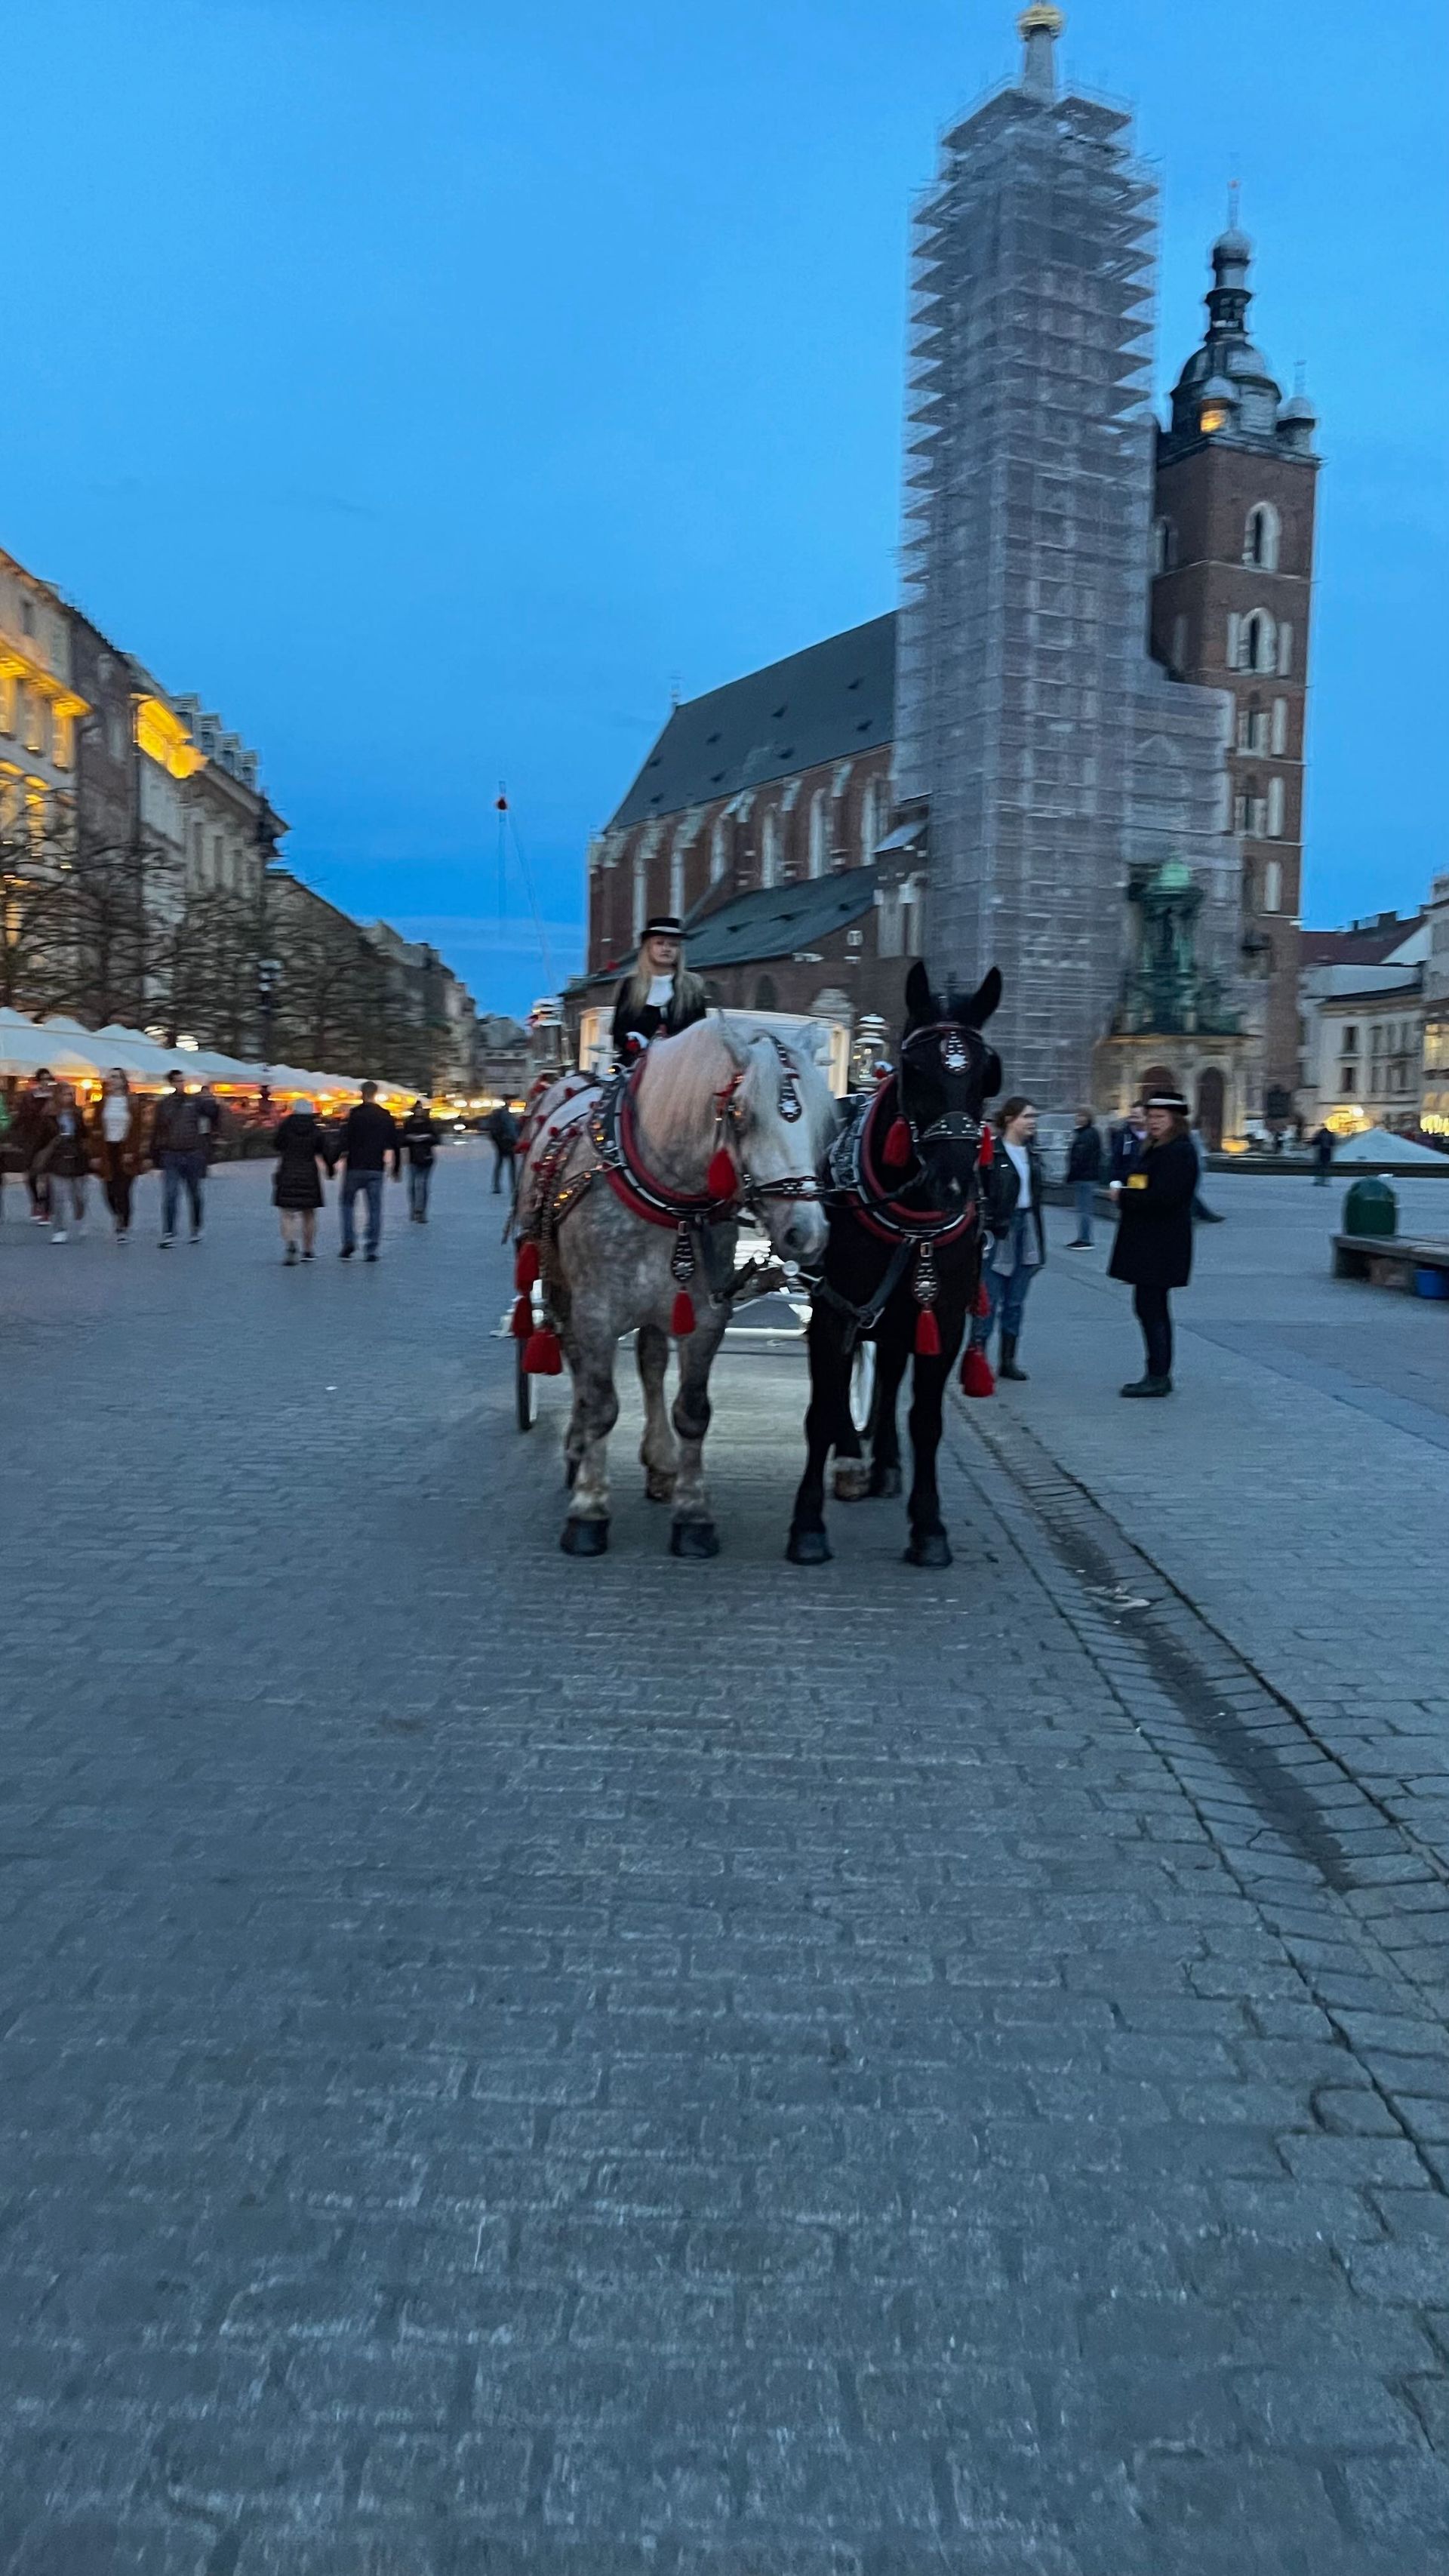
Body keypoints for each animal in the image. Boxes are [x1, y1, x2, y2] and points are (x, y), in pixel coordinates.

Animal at [517, 1014, 835, 1559]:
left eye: (820, 1118)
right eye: (739, 1112)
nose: (806, 1233)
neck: (667, 1198)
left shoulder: (706, 1317)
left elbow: (692, 1411)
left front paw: (693, 1514)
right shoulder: (596, 1313)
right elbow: (601, 1406)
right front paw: (589, 1510)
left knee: (650, 1363)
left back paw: (660, 1461)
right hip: (559, 1285)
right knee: (573, 1357)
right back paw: (577, 1449)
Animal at [785, 961, 1003, 1570]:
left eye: (987, 1075)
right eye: (915, 1069)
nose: (951, 1184)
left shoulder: (943, 1319)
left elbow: (925, 1419)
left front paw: (928, 1528)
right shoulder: (833, 1307)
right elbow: (820, 1409)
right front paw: (808, 1524)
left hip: (904, 1313)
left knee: (885, 1373)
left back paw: (883, 1463)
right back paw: (852, 1457)